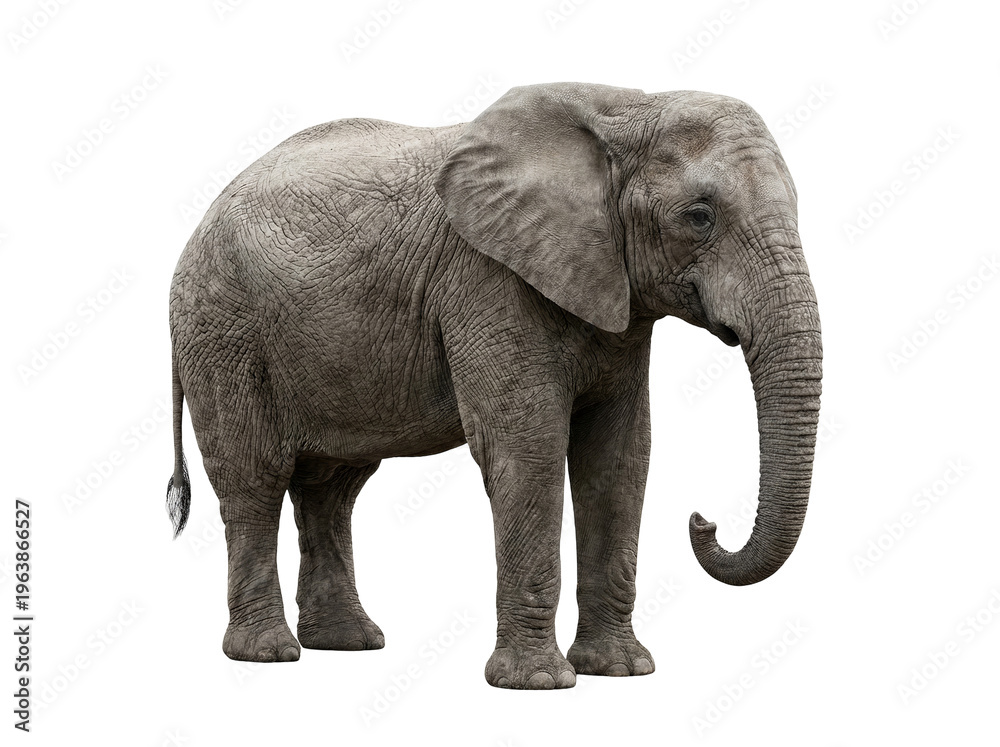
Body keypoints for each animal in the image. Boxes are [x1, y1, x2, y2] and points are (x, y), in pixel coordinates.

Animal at [165, 82, 822, 690]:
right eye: (700, 216)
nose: (703, 522)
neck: (625, 107)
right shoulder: (487, 278)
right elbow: (526, 449)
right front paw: (539, 684)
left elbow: (619, 457)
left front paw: (621, 671)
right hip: (222, 329)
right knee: (255, 477)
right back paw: (267, 654)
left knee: (332, 487)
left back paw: (348, 643)